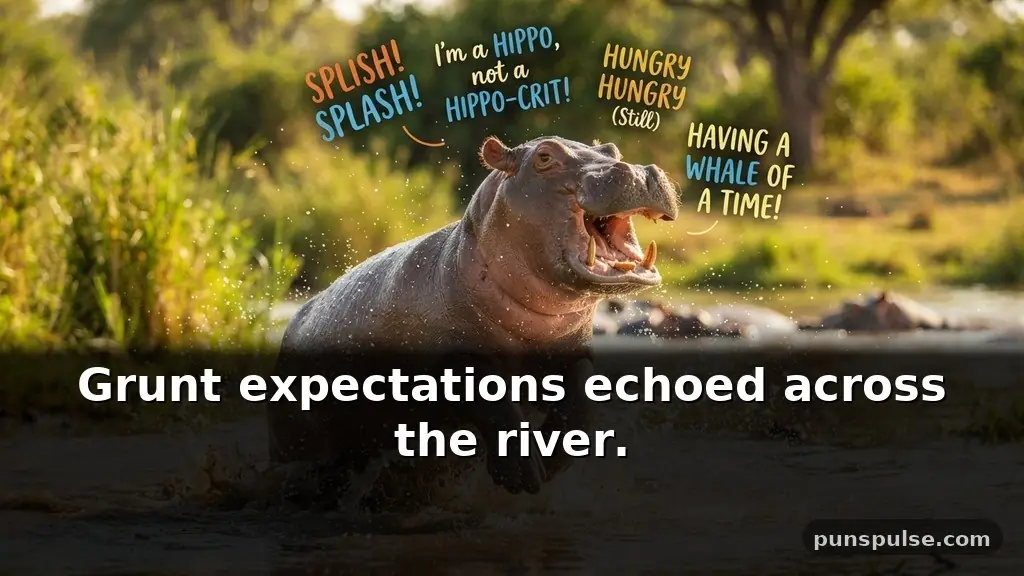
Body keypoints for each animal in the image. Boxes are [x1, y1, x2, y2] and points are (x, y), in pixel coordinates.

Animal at [270, 136, 679, 504]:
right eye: (545, 156)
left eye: (611, 150)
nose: (636, 170)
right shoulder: (453, 359)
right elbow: (492, 402)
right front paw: (522, 475)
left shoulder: (572, 353)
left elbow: (581, 405)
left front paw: (550, 462)